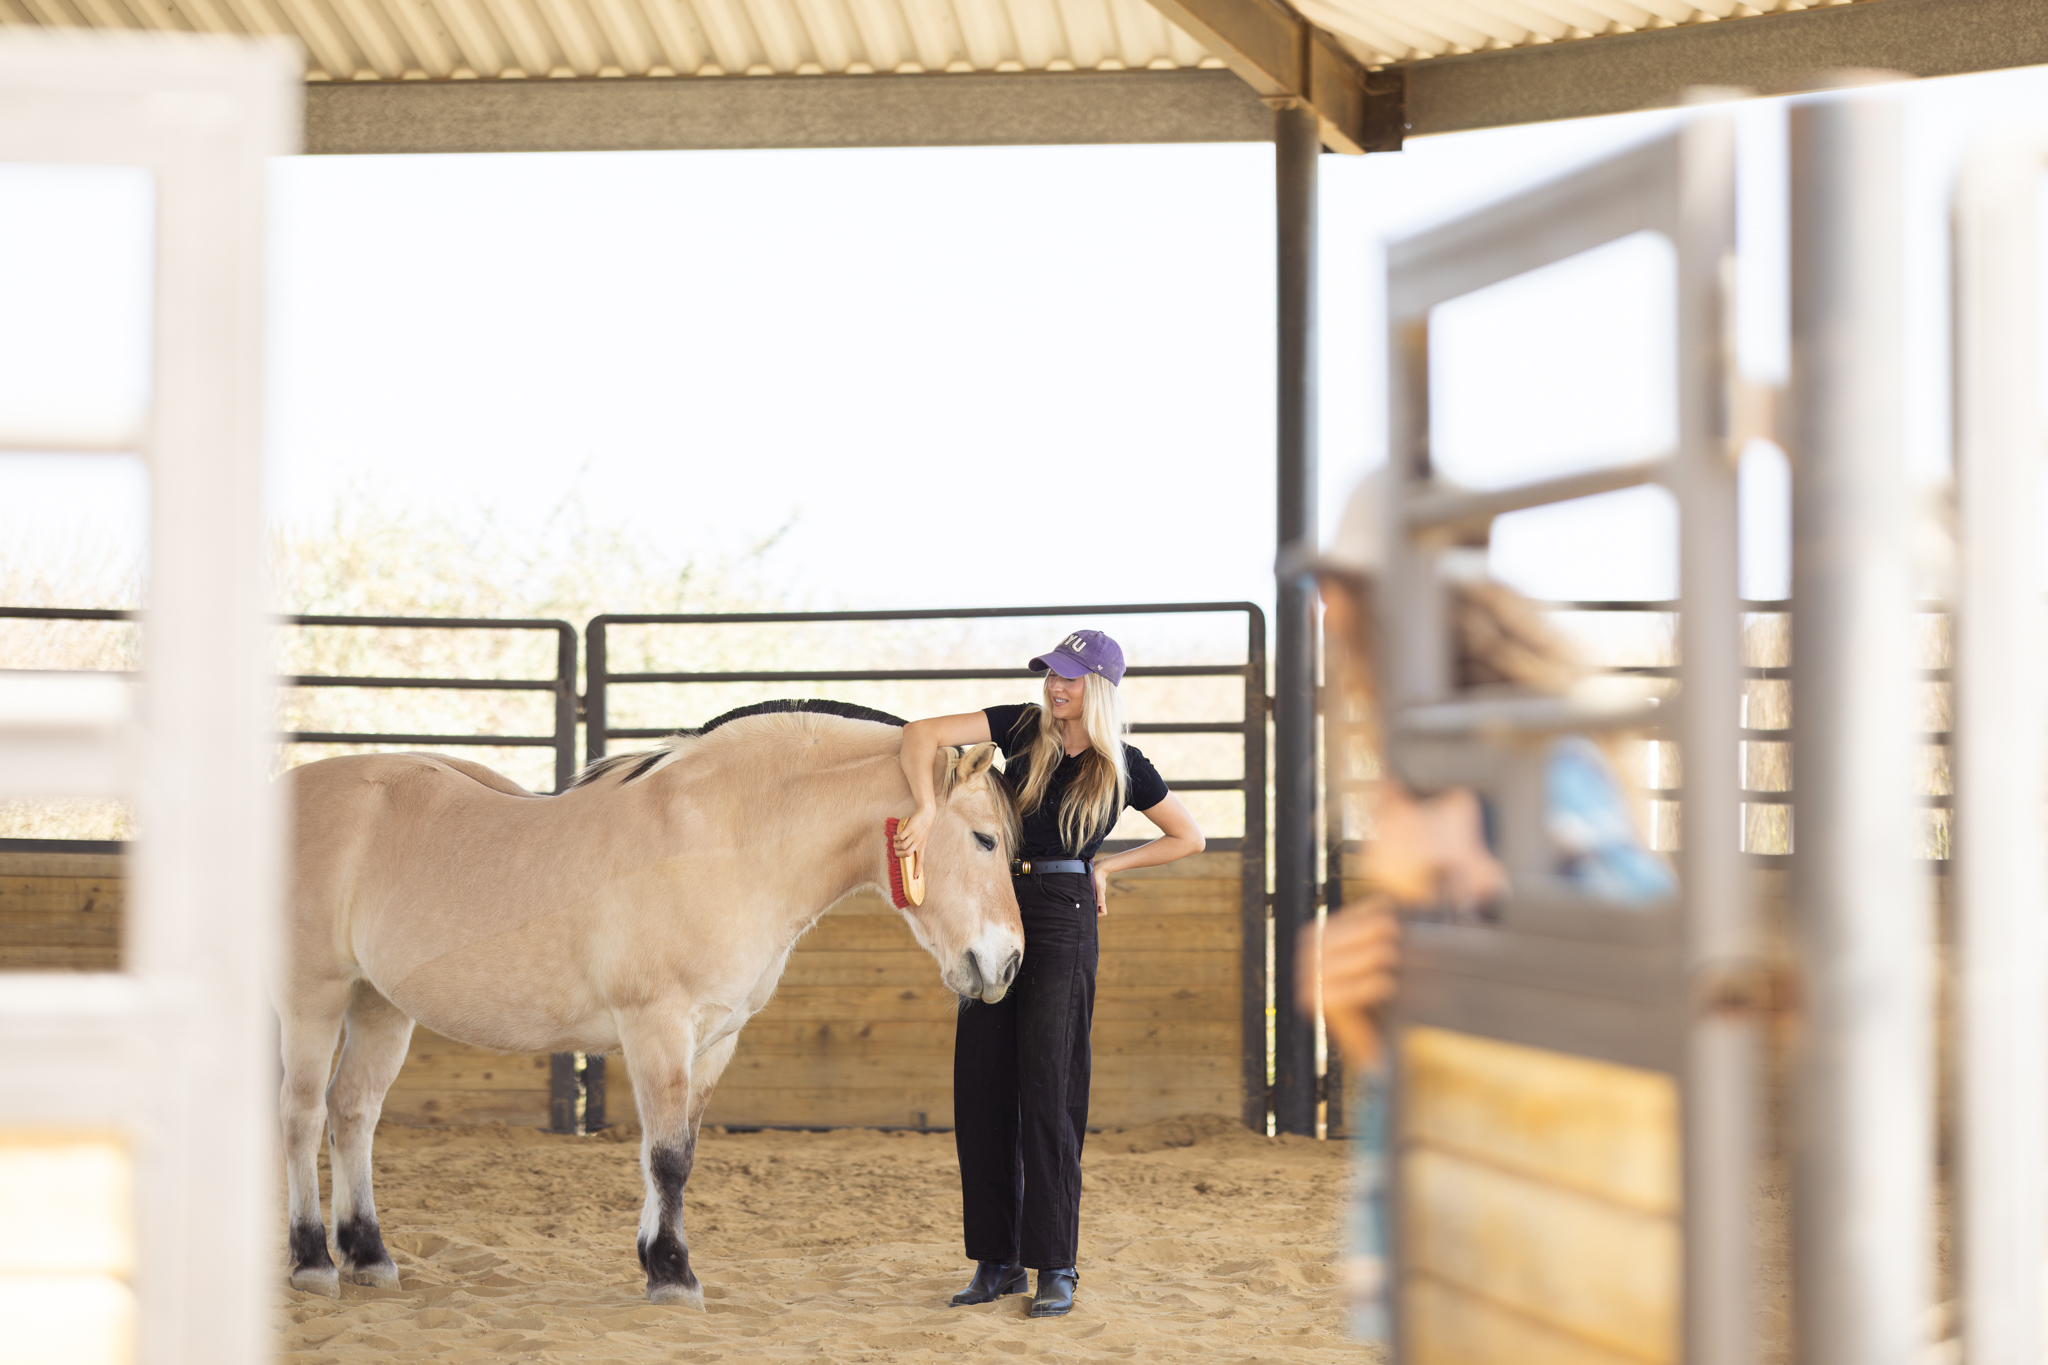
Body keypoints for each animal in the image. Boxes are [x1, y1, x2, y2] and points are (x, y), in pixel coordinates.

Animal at [274, 699, 1025, 1307]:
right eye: (984, 838)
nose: (1009, 962)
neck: (730, 841)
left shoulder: (716, 1038)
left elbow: (678, 1149)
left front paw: (655, 1259)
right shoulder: (656, 1026)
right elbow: (665, 1156)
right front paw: (672, 1274)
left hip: (379, 1005)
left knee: (353, 1112)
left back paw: (369, 1256)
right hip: (314, 999)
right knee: (303, 1116)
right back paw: (313, 1262)